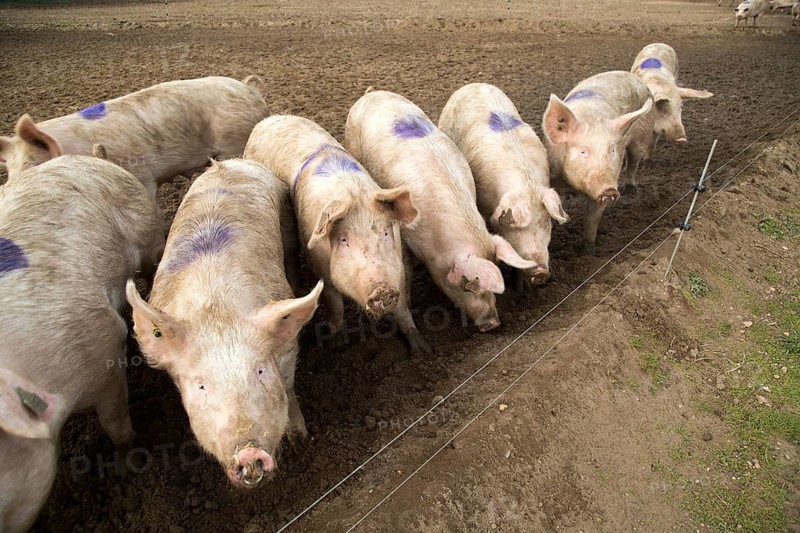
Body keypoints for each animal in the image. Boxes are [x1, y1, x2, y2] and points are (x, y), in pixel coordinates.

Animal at [0, 155, 164, 533]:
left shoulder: (102, 351)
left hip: (148, 230)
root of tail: (87, 158)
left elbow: (116, 422)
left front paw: (131, 468)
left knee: (153, 265)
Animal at [126, 159, 323, 488]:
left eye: (259, 371)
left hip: (285, 221)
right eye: (201, 385)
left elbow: (288, 386)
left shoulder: (285, 346)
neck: (215, 309)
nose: (249, 453)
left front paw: (300, 441)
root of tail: (230, 163)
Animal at [243, 115, 430, 354]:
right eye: (344, 240)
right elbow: (335, 306)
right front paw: (335, 345)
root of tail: (271, 119)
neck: (352, 193)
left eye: (386, 232)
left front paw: (422, 350)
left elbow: (403, 308)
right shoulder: (319, 267)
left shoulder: (400, 264)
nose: (383, 289)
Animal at [541, 71, 654, 255]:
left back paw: (631, 189)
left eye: (613, 150)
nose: (609, 189)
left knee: (633, 162)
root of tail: (632, 75)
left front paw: (587, 254)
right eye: (583, 151)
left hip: (642, 136)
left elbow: (591, 220)